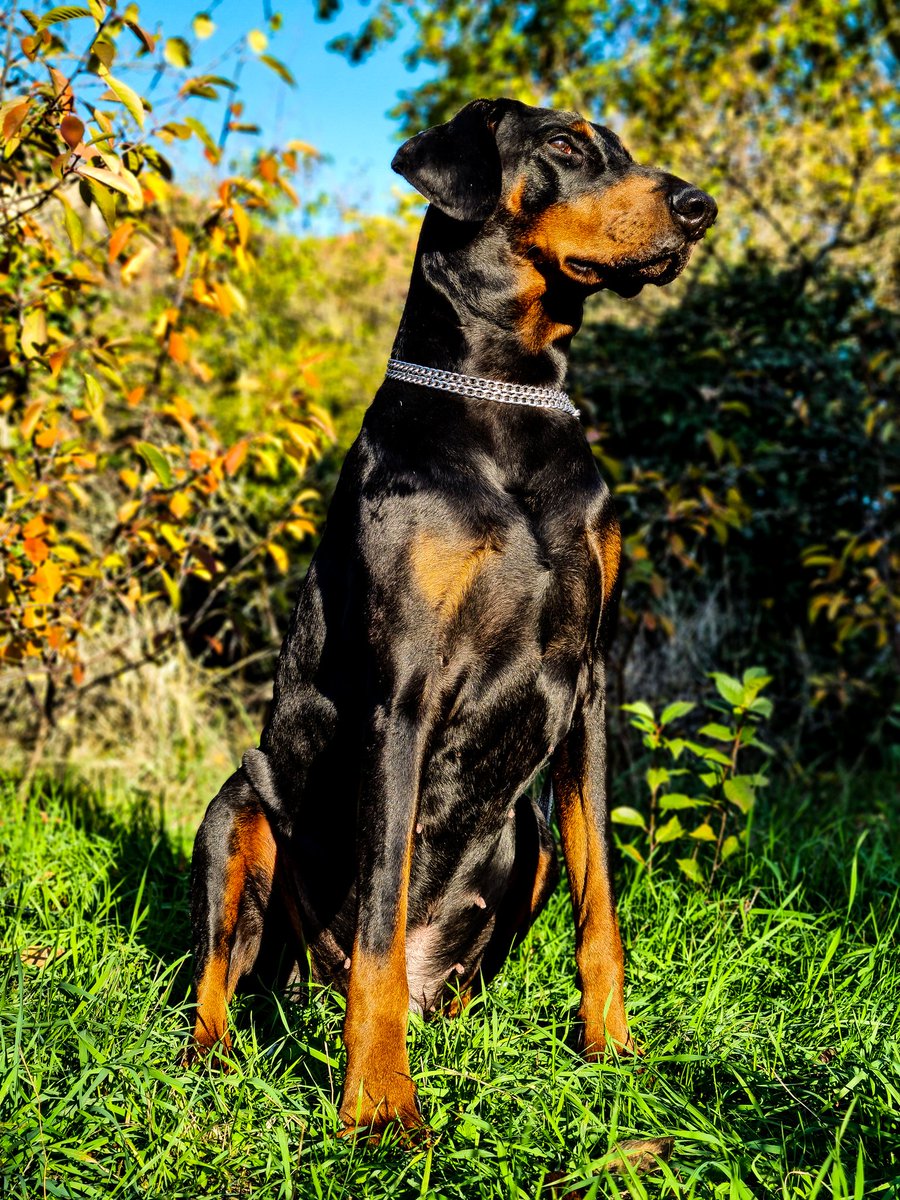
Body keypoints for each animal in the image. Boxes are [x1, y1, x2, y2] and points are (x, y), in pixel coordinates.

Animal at [190, 98, 720, 1137]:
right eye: (564, 145)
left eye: (625, 147)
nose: (699, 206)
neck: (511, 401)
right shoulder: (403, 688)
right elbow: (380, 915)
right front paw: (378, 1103)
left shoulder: (590, 680)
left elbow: (603, 909)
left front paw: (612, 1052)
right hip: (239, 808)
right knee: (224, 972)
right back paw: (219, 1060)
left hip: (527, 837)